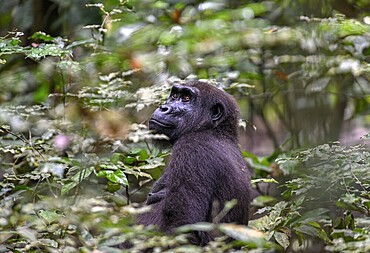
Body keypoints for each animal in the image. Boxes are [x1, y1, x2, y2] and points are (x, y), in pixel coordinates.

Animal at [137, 80, 251, 245]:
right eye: (174, 96)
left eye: (186, 98)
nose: (163, 107)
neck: (214, 131)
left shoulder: (191, 149)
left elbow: (183, 225)